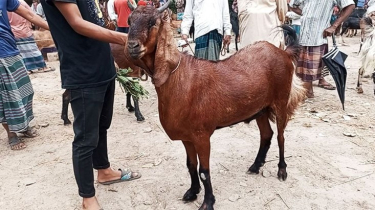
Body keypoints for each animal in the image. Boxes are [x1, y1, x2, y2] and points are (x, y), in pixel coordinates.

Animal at [126, 3, 306, 210]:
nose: (132, 46)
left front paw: (207, 202)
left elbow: (204, 171)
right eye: (129, 21)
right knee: (266, 135)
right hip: (260, 109)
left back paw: (282, 171)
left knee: (280, 137)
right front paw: (192, 192)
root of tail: (284, 52)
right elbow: (190, 165)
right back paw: (255, 166)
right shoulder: (187, 137)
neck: (178, 77)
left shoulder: (202, 136)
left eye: (152, 23)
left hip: (280, 101)